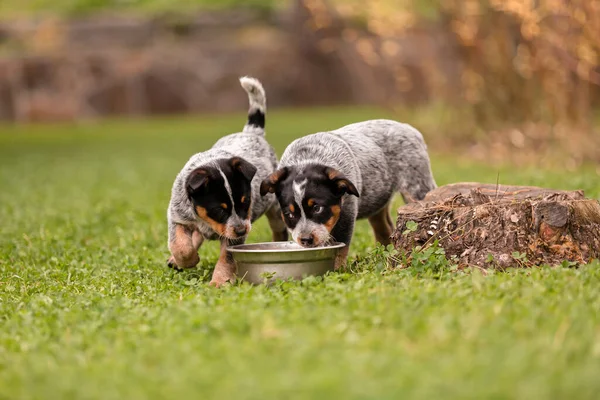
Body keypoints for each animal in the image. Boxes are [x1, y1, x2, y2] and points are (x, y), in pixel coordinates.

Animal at [164, 76, 286, 286]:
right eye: (219, 210)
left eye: (246, 202)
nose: (241, 229)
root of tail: (251, 132)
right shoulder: (177, 217)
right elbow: (180, 245)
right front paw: (188, 260)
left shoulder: (234, 238)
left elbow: (226, 258)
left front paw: (220, 282)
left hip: (276, 211)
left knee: (279, 230)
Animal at [260, 119, 438, 268]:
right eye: (289, 214)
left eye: (317, 208)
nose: (306, 239)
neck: (307, 158)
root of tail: (409, 128)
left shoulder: (346, 213)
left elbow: (340, 247)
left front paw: (337, 270)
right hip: (378, 199)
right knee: (384, 229)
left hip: (418, 187)